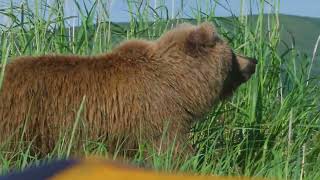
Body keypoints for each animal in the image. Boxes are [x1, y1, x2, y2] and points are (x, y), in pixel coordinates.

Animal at [0, 22, 256, 158]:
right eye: (232, 53)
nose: (253, 61)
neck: (180, 84)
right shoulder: (158, 114)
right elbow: (171, 150)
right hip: (24, 121)